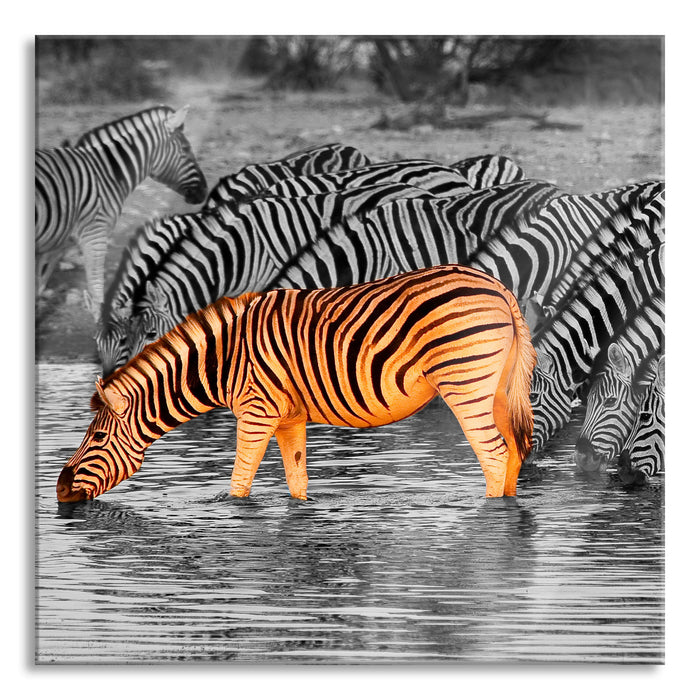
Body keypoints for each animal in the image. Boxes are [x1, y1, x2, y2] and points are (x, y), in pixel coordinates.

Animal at [35, 105, 208, 321]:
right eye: (185, 149)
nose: (204, 191)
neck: (105, 174)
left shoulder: (55, 244)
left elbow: (39, 286)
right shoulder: (95, 236)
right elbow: (97, 294)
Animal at [57, 264, 537, 502]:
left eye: (97, 437)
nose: (59, 490)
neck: (223, 361)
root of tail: (499, 288)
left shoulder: (256, 411)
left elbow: (239, 484)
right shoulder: (289, 417)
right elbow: (297, 481)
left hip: (464, 383)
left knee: (494, 455)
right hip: (496, 388)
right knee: (514, 452)